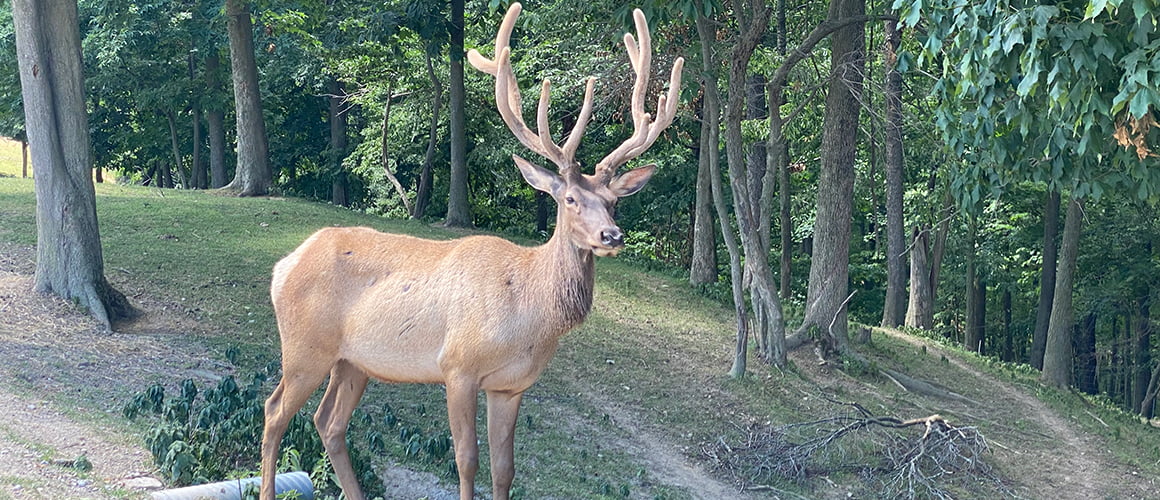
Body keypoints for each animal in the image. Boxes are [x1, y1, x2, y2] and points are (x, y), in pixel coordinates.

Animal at [258, 3, 683, 500]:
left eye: (614, 201)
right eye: (569, 199)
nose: (611, 236)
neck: (526, 314)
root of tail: (284, 266)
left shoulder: (510, 387)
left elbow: (505, 468)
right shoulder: (456, 367)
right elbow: (466, 460)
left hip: (352, 361)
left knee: (328, 422)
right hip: (305, 346)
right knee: (274, 411)